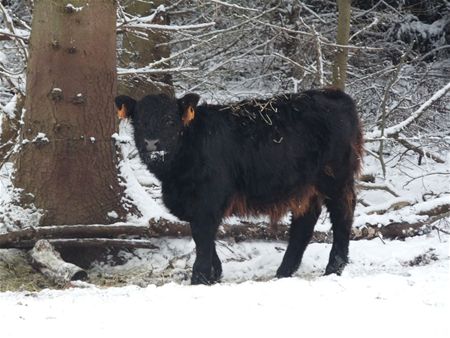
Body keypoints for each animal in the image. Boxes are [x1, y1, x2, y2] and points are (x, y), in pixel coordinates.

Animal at [114, 88, 364, 284]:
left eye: (169, 120)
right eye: (139, 121)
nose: (151, 143)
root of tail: (334, 94)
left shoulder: (207, 202)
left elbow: (203, 240)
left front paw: (200, 279)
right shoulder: (197, 206)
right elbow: (204, 239)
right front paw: (215, 275)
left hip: (336, 178)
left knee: (342, 215)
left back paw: (334, 268)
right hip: (305, 185)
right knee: (305, 222)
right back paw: (284, 272)